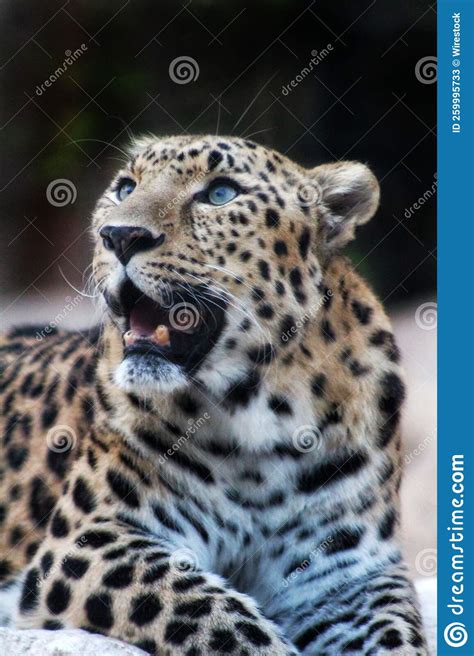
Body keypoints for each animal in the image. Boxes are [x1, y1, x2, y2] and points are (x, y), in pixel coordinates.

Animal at [0, 136, 428, 652]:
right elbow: (210, 611)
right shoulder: (88, 541)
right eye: (126, 188)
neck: (259, 415)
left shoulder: (344, 575)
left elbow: (396, 634)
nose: (119, 236)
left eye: (221, 193)